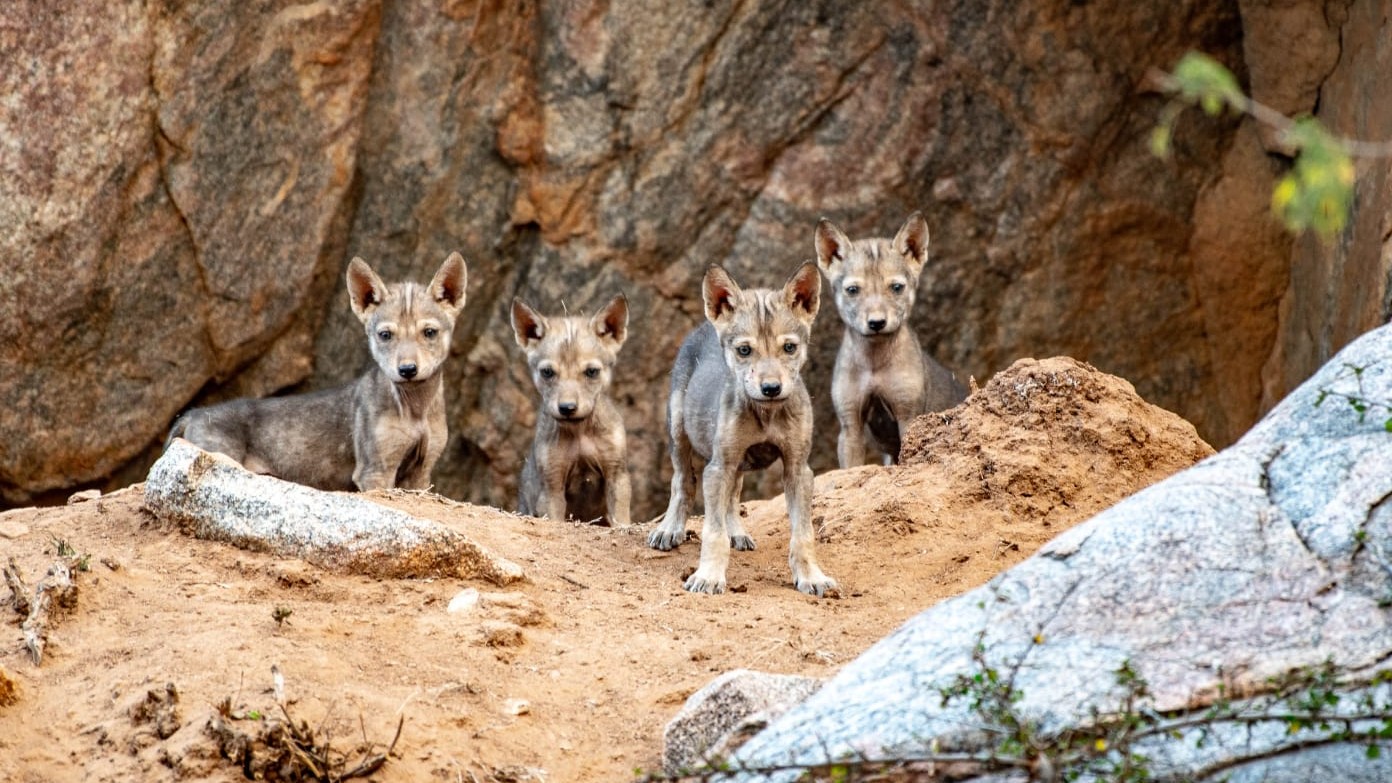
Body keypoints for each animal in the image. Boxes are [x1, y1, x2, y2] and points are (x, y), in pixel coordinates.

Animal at [167, 252, 468, 492]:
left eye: (429, 332)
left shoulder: (421, 472)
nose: (407, 370)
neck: (416, 408)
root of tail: (194, 413)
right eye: (385, 335)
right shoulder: (375, 469)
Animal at [512, 293, 632, 526]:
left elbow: (621, 520)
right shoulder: (552, 486)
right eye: (547, 372)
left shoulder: (617, 475)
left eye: (592, 372)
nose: (567, 408)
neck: (580, 433)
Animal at [646, 263, 835, 597]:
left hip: (736, 461)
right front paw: (708, 576)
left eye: (789, 347)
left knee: (733, 495)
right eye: (745, 350)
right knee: (682, 482)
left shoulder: (798, 468)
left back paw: (737, 532)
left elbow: (803, 534)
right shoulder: (718, 466)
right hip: (679, 431)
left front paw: (811, 576)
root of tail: (704, 326)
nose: (771, 388)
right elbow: (713, 532)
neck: (767, 413)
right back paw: (669, 529)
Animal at [815, 212, 967, 468]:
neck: (874, 363)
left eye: (896, 287)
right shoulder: (850, 424)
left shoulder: (908, 414)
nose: (877, 323)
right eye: (852, 290)